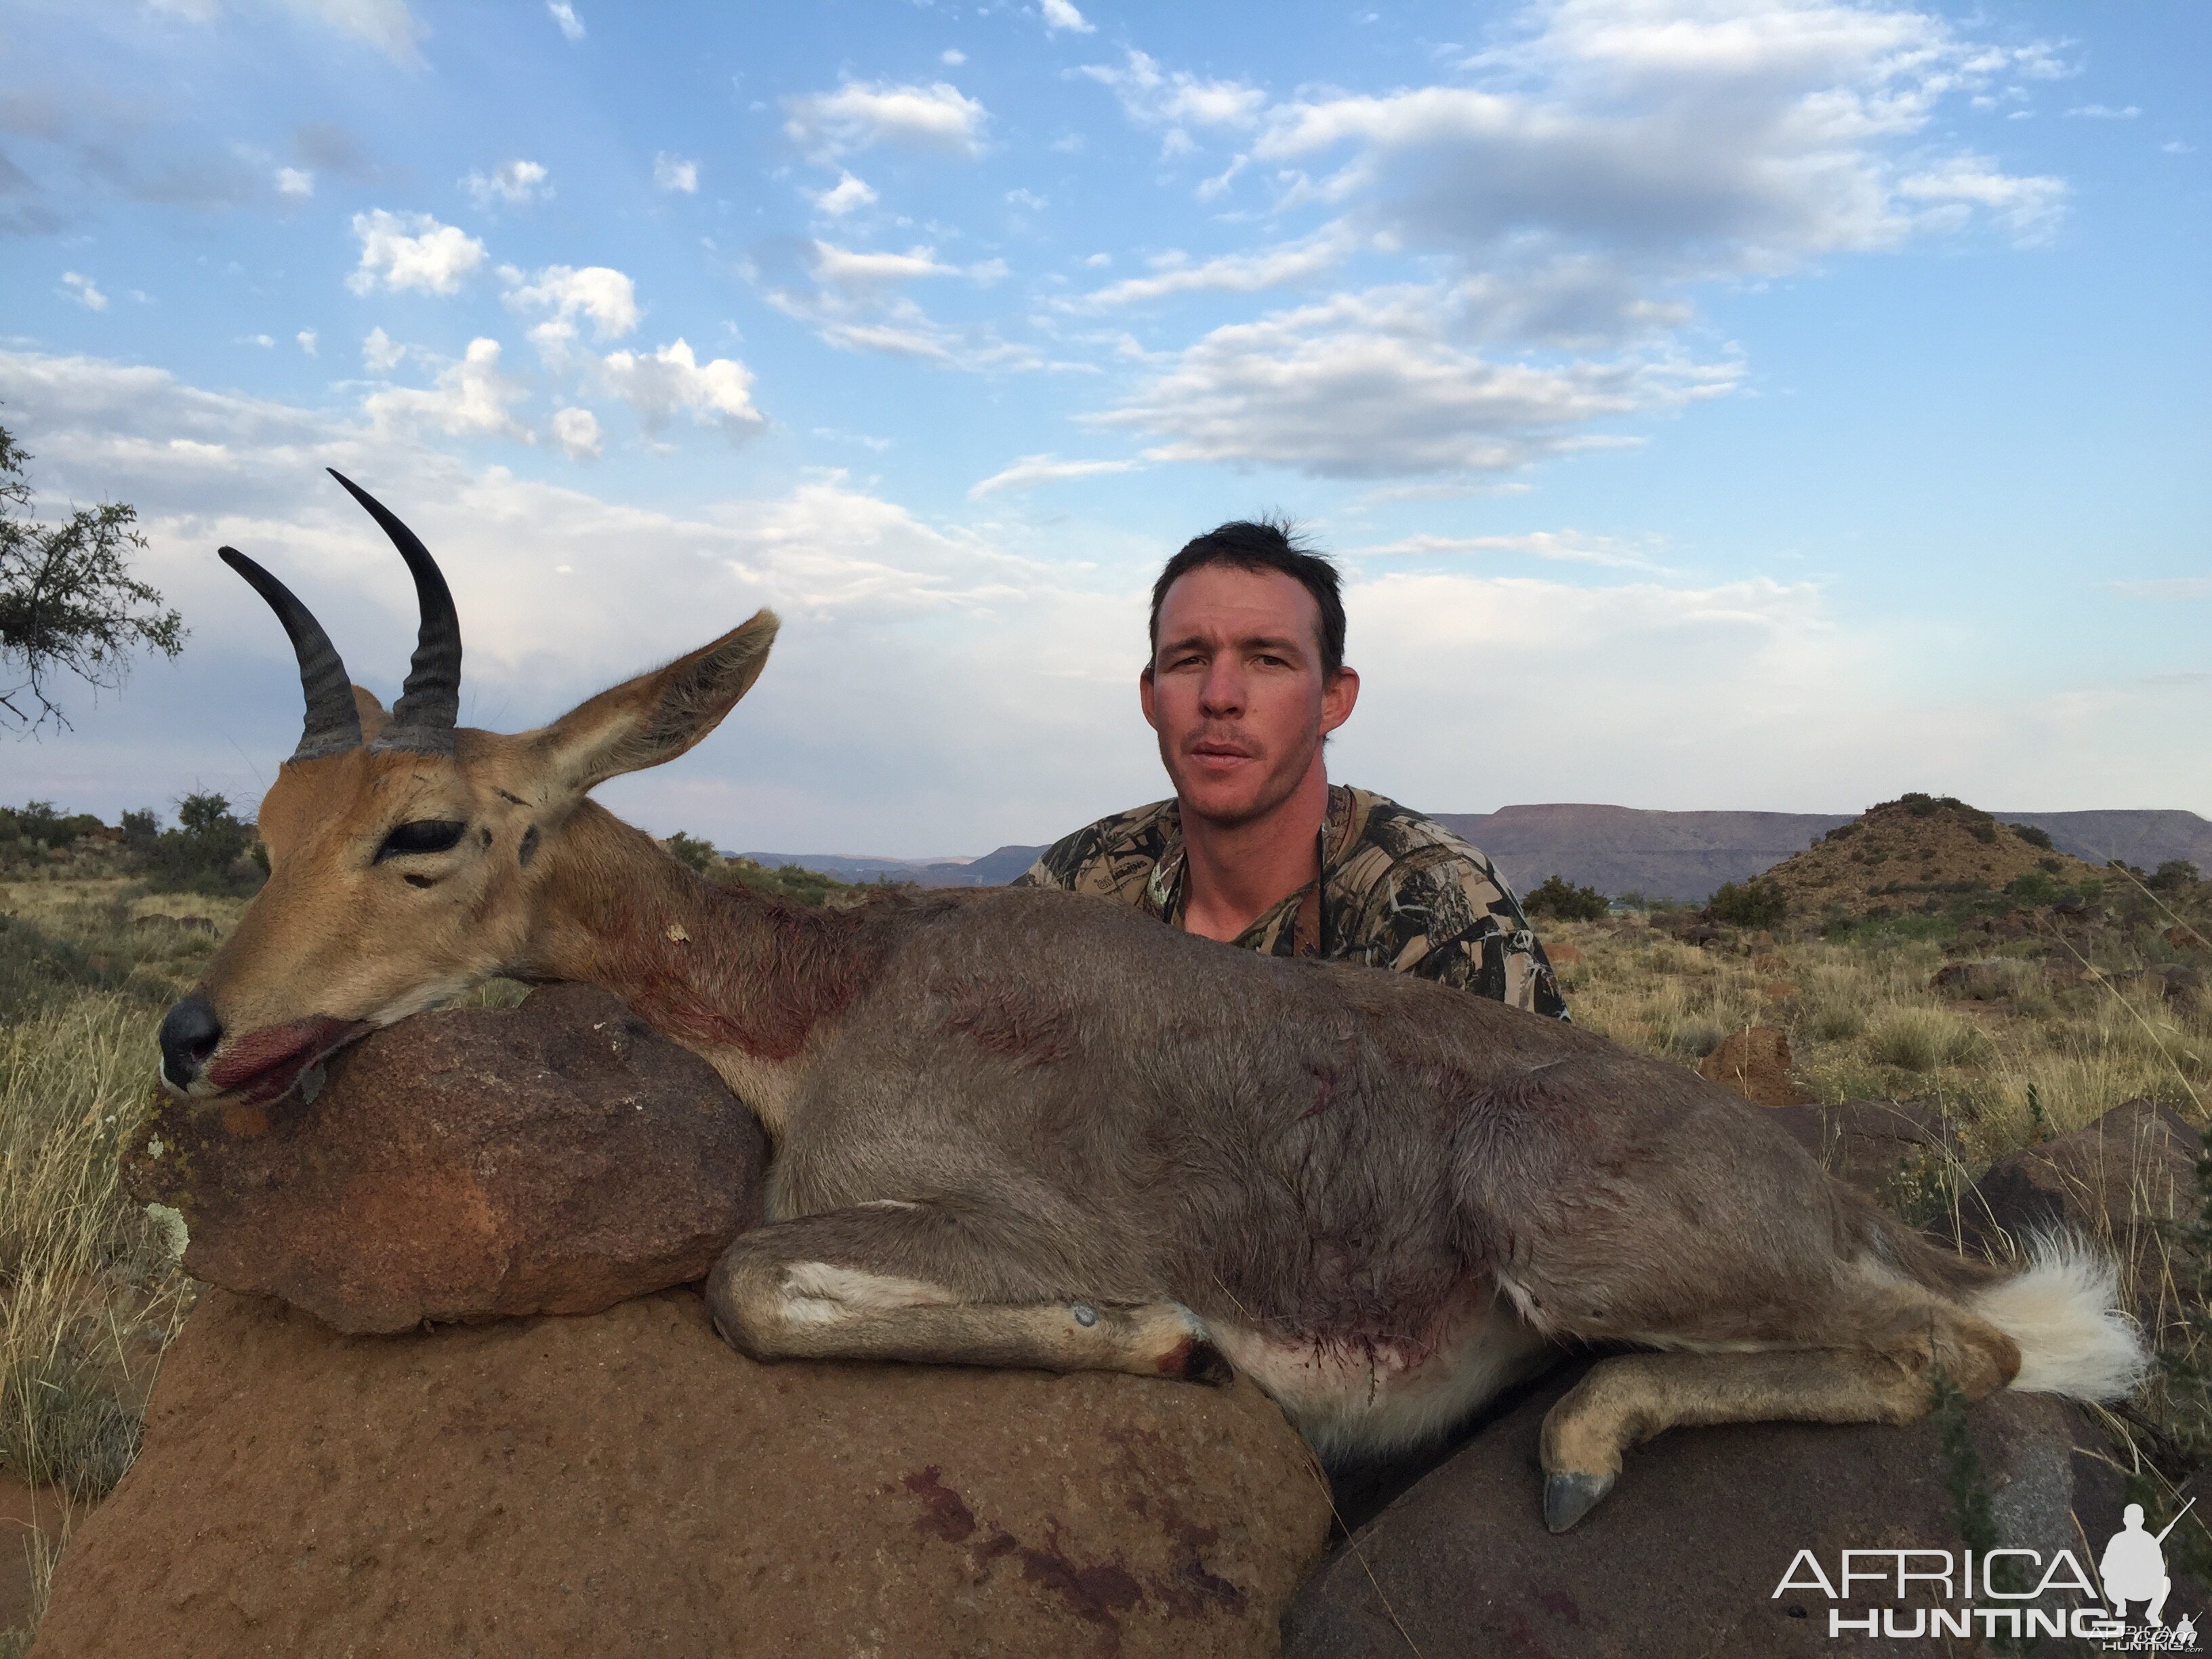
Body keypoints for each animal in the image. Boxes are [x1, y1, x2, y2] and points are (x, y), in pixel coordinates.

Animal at [163, 473, 2150, 1539]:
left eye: (424, 830)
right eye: (267, 825)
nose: (197, 1034)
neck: (832, 990)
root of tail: (1820, 1187)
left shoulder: (993, 1220)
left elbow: (746, 1279)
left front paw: (1165, 1338)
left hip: (1586, 1246)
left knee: (1960, 1352)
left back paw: (1584, 1447)